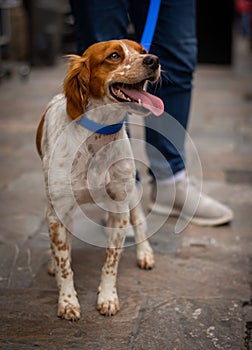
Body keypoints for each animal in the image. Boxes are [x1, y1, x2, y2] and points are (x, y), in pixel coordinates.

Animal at [36, 39, 164, 322]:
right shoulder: (58, 211)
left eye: (141, 51)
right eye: (114, 56)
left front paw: (107, 298)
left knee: (140, 221)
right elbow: (64, 263)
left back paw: (145, 253)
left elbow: (111, 261)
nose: (154, 60)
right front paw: (67, 301)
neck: (98, 135)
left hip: (132, 192)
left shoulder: (119, 209)